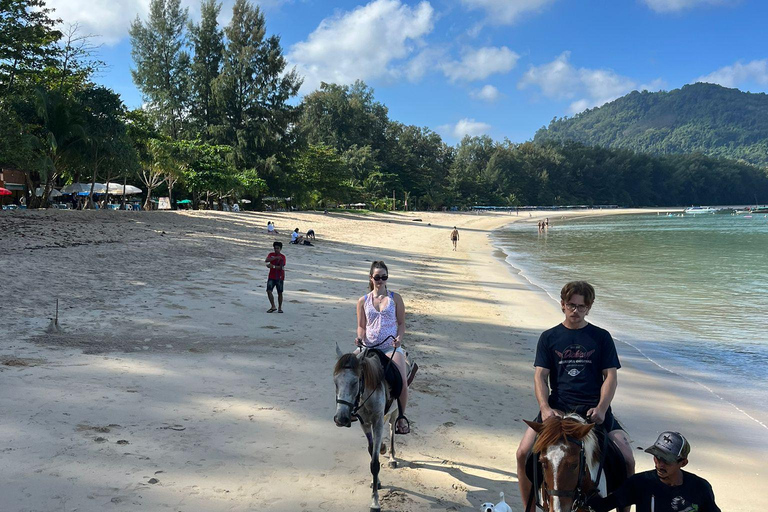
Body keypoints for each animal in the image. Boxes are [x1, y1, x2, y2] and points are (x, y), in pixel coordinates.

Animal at [332, 346, 412, 510]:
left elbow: (375, 463)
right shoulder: (365, 424)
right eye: (335, 382)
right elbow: (371, 450)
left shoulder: (378, 422)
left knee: (392, 429)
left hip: (395, 412)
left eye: (355, 382)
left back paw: (392, 458)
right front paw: (377, 480)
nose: (341, 419)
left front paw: (375, 502)